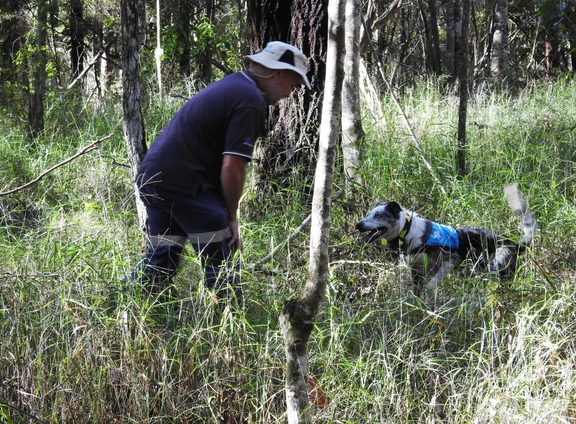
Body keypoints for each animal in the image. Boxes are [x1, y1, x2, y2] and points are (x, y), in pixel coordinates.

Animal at [356, 185, 536, 302]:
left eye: (378, 216)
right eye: (368, 214)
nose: (358, 225)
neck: (407, 231)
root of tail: (515, 242)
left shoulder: (450, 261)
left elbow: (431, 286)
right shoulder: (416, 273)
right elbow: (416, 294)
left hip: (496, 268)